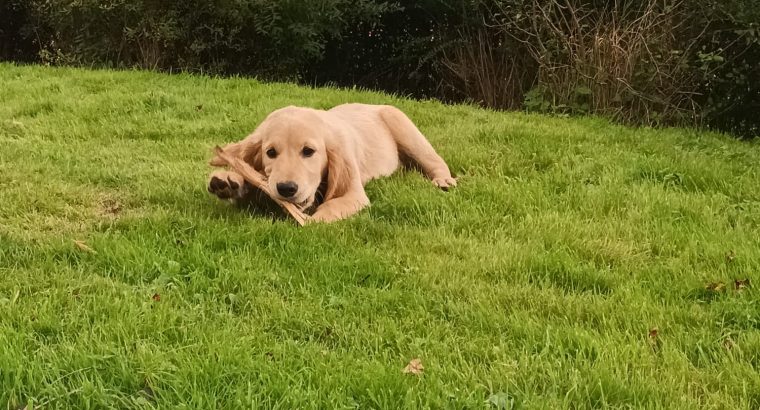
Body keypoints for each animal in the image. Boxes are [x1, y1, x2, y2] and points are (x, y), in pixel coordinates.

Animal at [206, 104, 458, 223]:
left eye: (309, 151)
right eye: (270, 153)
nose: (286, 188)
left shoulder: (354, 194)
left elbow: (332, 205)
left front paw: (314, 220)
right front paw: (228, 181)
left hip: (404, 126)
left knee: (434, 159)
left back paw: (444, 180)